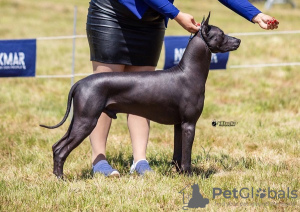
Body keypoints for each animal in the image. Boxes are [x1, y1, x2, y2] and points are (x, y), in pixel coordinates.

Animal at [40, 13, 241, 178]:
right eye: (222, 34)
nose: (238, 40)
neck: (188, 72)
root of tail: (80, 83)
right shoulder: (189, 124)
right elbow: (186, 156)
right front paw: (190, 176)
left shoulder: (179, 125)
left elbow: (178, 154)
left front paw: (179, 174)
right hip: (86, 121)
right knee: (61, 150)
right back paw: (61, 178)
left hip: (79, 120)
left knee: (56, 146)